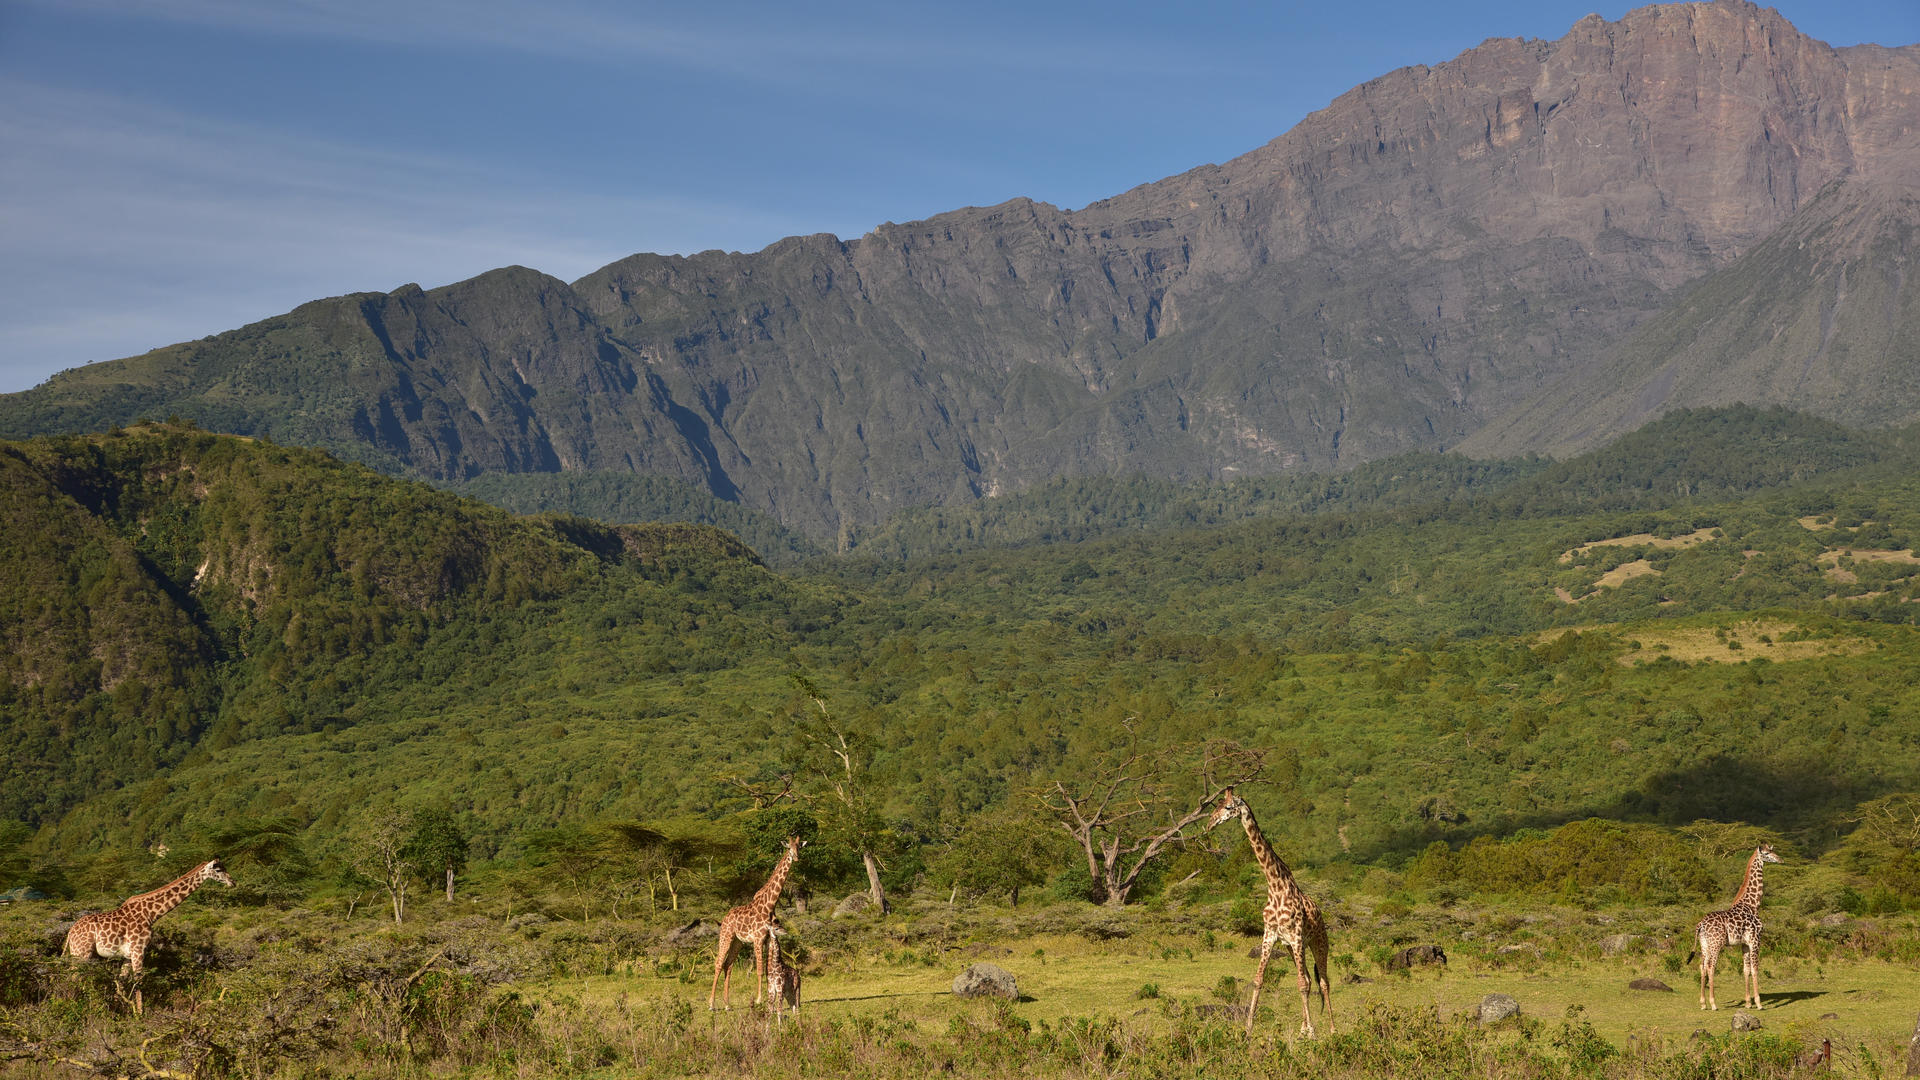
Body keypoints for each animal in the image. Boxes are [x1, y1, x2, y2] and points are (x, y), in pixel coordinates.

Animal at [63, 858, 234, 1014]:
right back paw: (70, 1006)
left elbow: (122, 982)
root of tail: (70, 932)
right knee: (72, 977)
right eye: (218, 870)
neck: (151, 914)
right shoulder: (139, 950)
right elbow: (139, 981)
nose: (232, 882)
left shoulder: (127, 955)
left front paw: (120, 1009)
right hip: (82, 953)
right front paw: (140, 1015)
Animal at [709, 836, 805, 1010]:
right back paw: (712, 1004)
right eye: (789, 848)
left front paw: (768, 996)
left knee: (728, 965)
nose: (796, 857)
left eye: (799, 847)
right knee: (718, 963)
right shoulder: (758, 939)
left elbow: (767, 969)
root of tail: (724, 918)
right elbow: (759, 970)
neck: (769, 904)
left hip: (737, 942)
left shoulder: (767, 939)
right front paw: (760, 999)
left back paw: (727, 1004)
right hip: (726, 936)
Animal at [1206, 787, 1331, 1037]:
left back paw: (1330, 1029)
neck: (1275, 886)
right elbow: (1259, 980)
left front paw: (1312, 1033)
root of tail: (1321, 914)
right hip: (1294, 948)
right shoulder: (1270, 935)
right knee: (1308, 979)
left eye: (1227, 807)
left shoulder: (1296, 936)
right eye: (1217, 806)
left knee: (1323, 982)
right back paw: (1303, 1027)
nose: (1209, 824)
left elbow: (1302, 985)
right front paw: (1248, 1028)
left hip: (1318, 942)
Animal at [1691, 843, 1781, 1011]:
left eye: (1773, 850)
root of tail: (1701, 924)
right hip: (1716, 943)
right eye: (1766, 853)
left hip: (1704, 944)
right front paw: (1758, 1003)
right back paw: (1713, 1003)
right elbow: (1755, 969)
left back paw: (1703, 1003)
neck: (1753, 904)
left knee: (1702, 966)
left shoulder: (1744, 944)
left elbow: (1746, 970)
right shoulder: (1755, 940)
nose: (1780, 859)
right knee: (1711, 966)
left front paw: (1748, 1003)